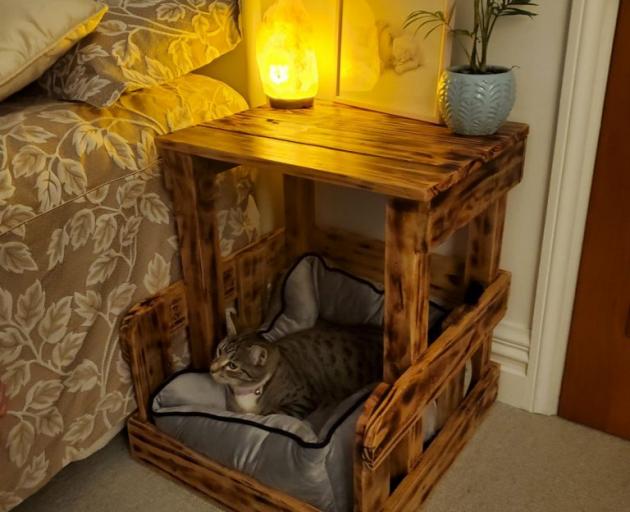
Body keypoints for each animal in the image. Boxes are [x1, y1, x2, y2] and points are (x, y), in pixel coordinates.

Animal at [210, 324, 382, 420]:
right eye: (219, 351)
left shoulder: (302, 401)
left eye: (232, 365)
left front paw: (255, 415)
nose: (211, 369)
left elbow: (271, 413)